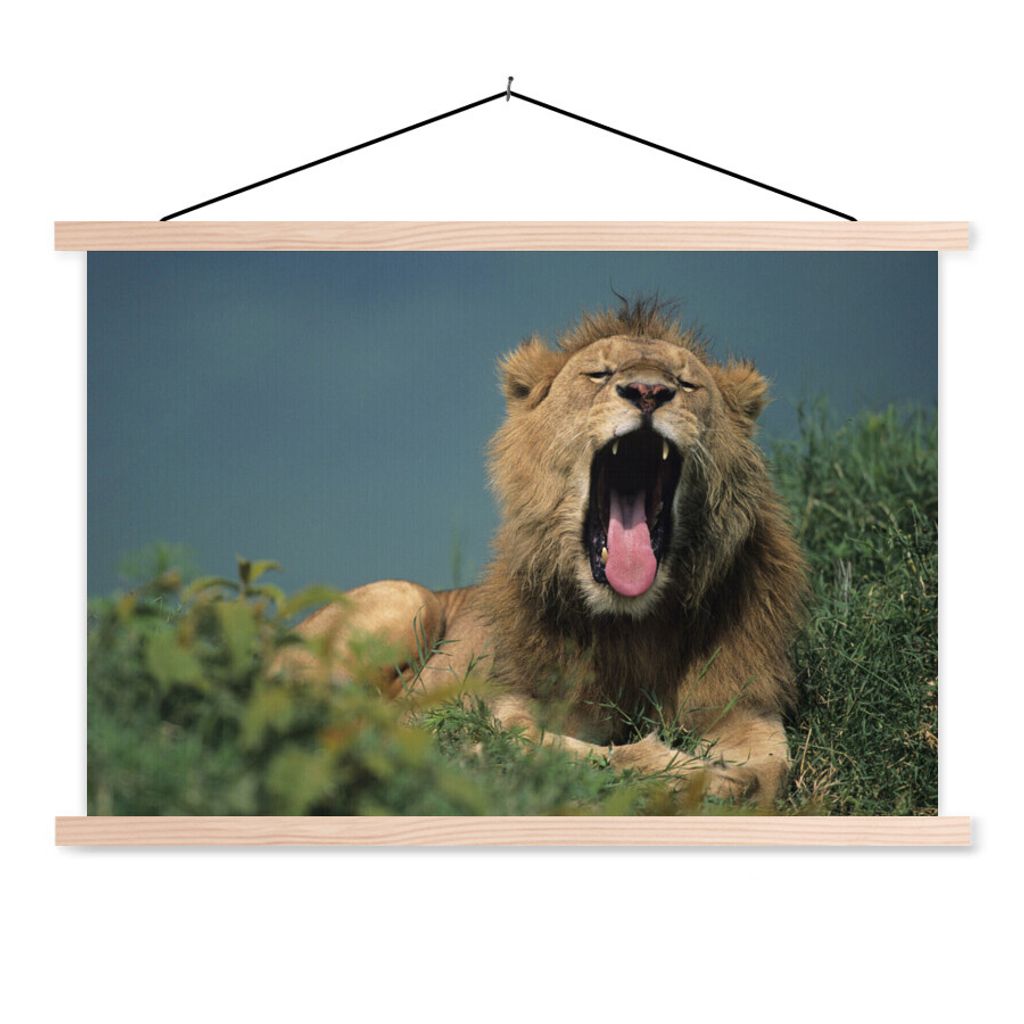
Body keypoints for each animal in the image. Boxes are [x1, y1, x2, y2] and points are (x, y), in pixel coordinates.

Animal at [285, 299, 807, 806]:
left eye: (686, 382)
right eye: (598, 373)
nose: (648, 391)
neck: (632, 624)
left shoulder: (745, 706)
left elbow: (772, 770)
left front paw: (727, 781)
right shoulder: (510, 705)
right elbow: (564, 750)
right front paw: (690, 774)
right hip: (406, 598)